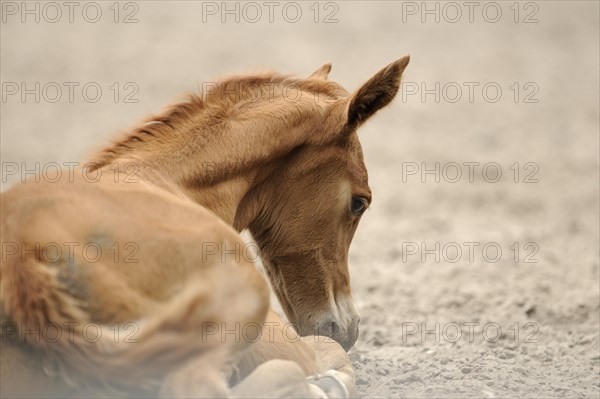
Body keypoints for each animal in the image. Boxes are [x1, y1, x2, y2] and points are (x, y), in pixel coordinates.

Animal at [0, 55, 410, 396]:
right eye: (359, 202)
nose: (349, 328)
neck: (167, 180)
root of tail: (26, 258)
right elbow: (325, 354)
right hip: (243, 297)